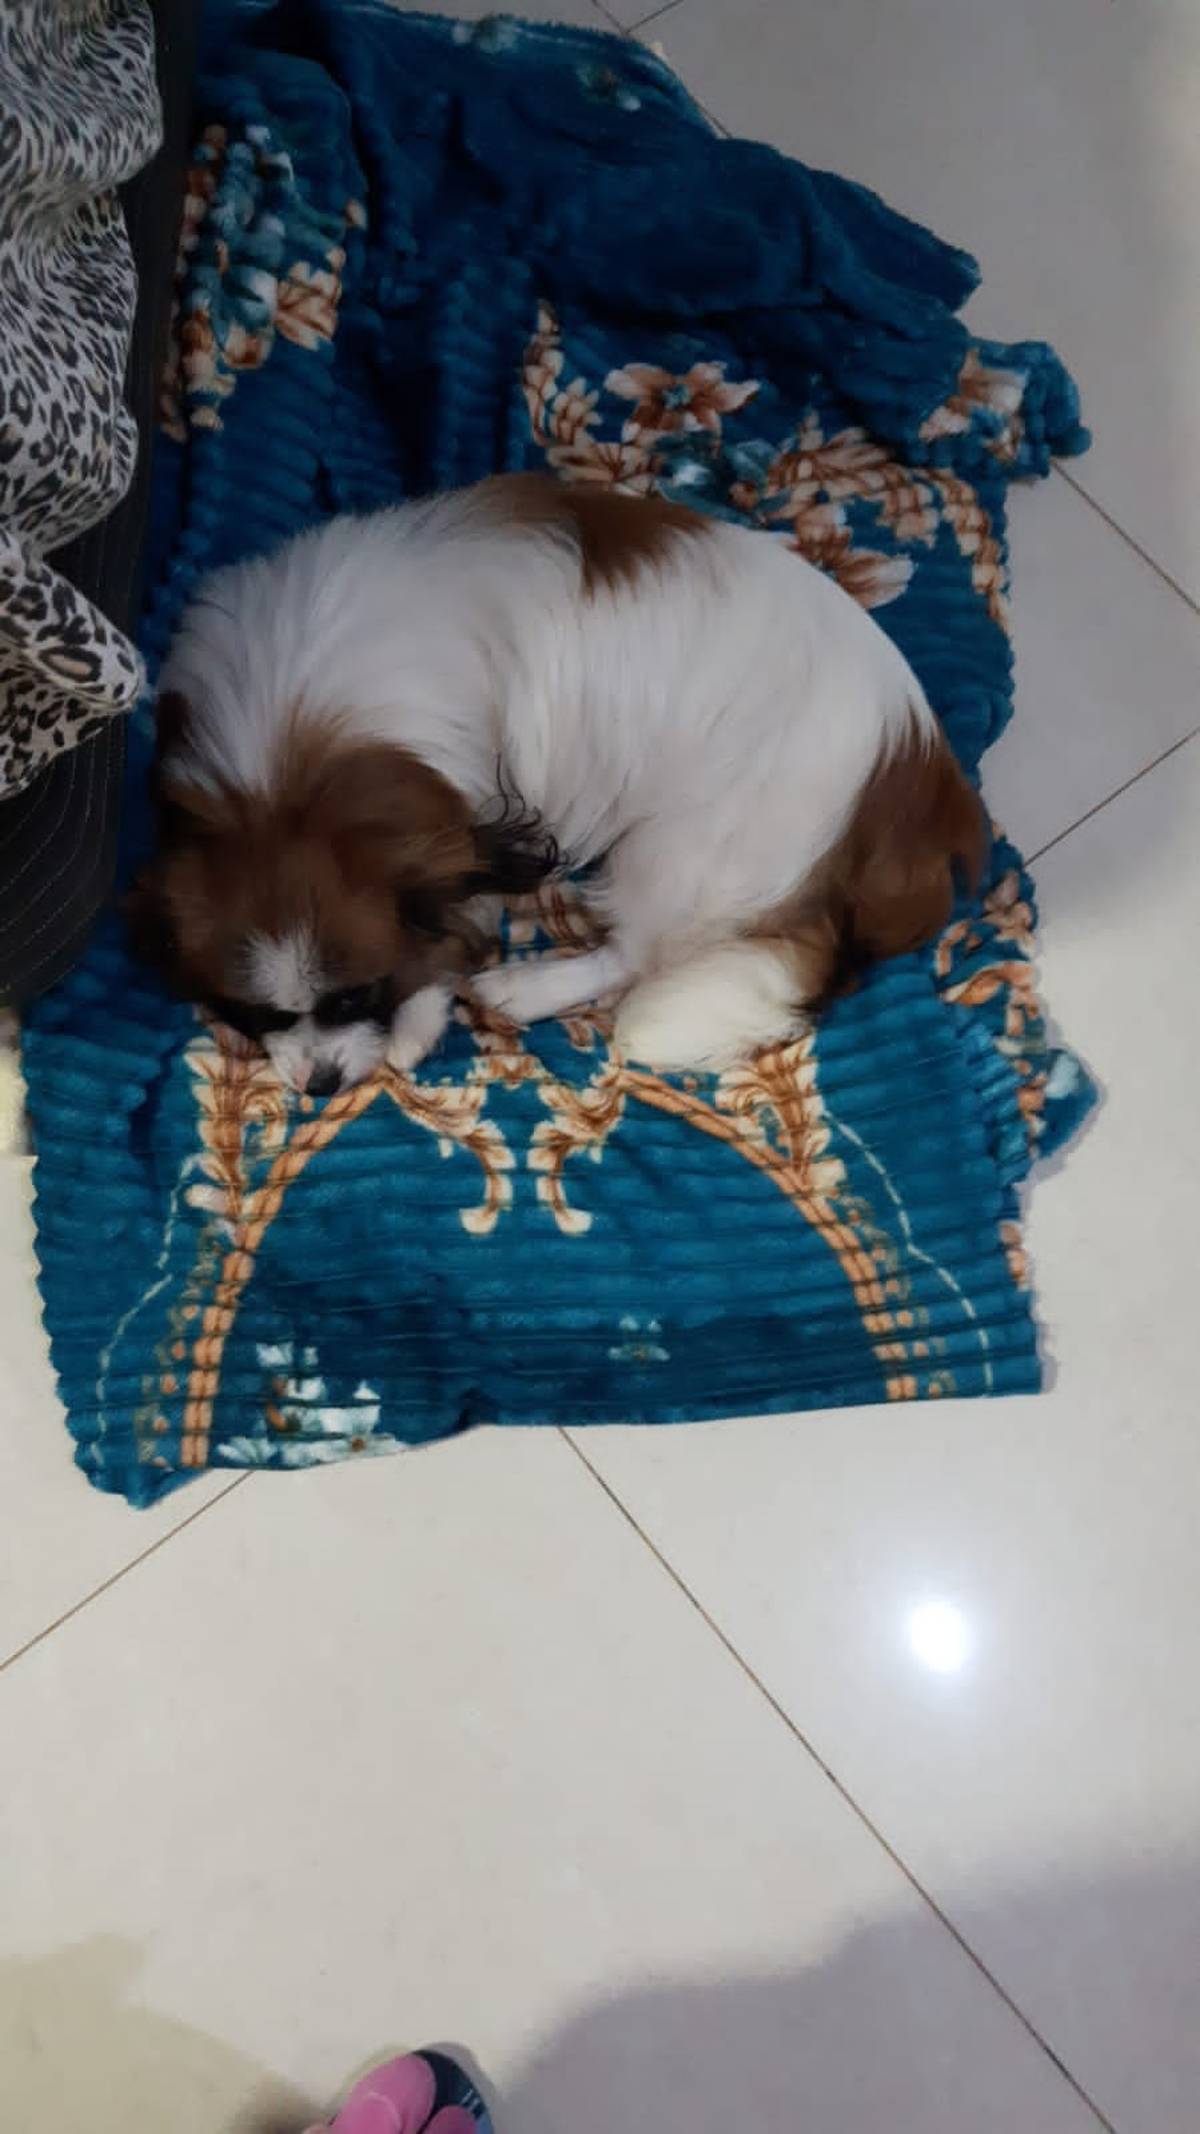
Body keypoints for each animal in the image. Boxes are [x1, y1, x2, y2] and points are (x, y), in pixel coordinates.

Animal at [132, 473, 985, 1093]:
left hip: (686, 847)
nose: (320, 1085)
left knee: (636, 955)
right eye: (255, 1015)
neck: (289, 772)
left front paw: (418, 1019)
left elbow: (456, 922)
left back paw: (527, 987)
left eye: (358, 997)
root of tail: (915, 779)